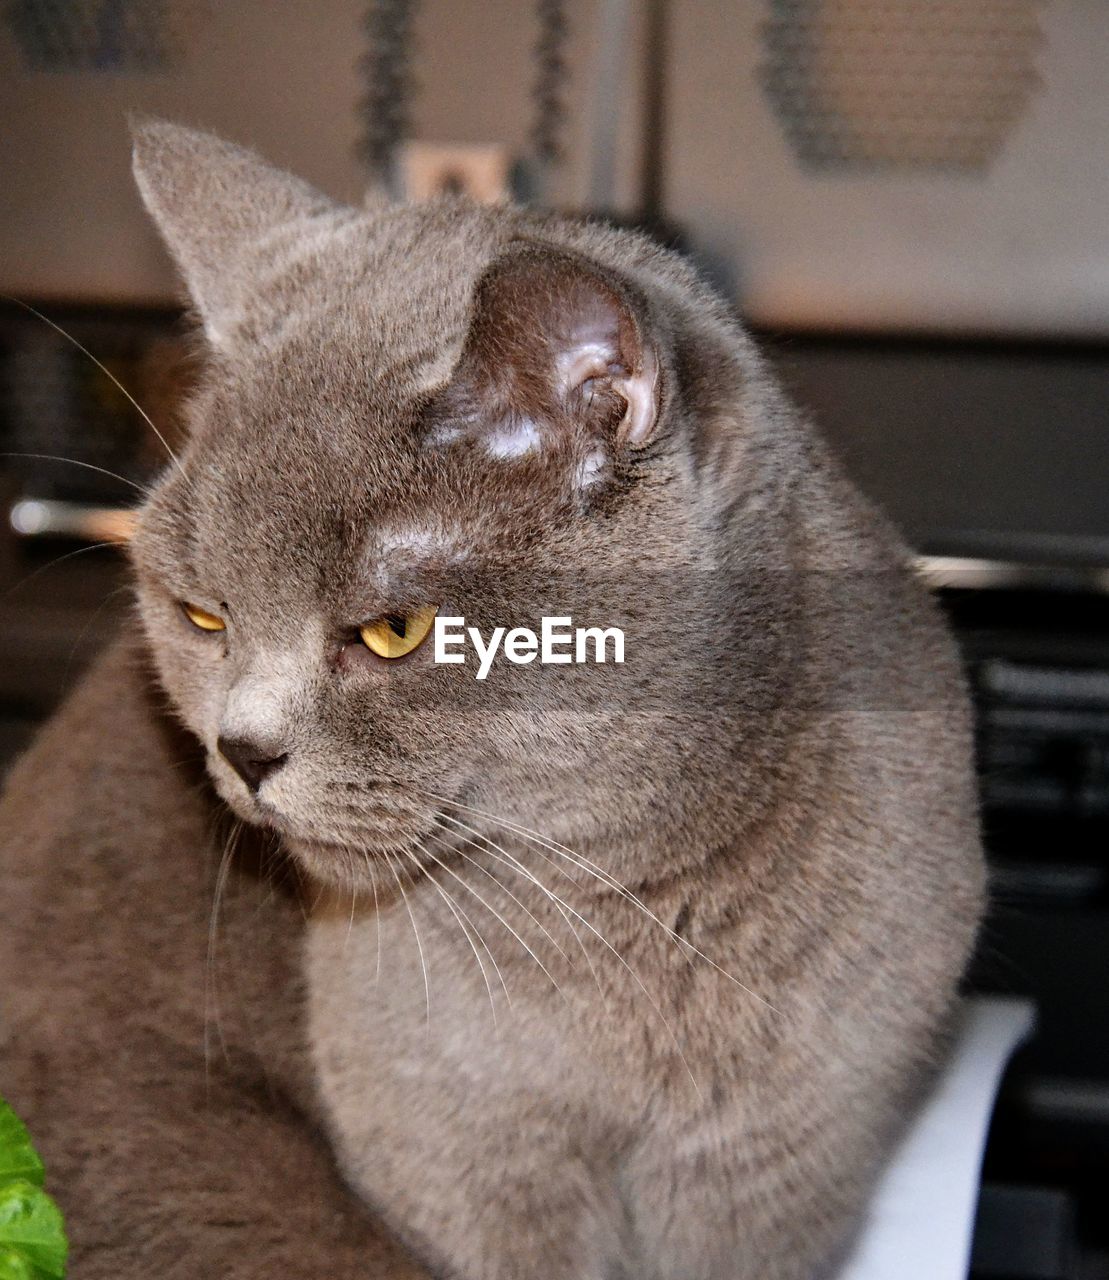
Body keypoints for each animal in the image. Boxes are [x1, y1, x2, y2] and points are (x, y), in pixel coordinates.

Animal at [2, 122, 983, 1280]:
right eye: (202, 615)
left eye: (393, 630)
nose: (242, 751)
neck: (633, 912)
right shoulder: (464, 1149)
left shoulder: (773, 1166)